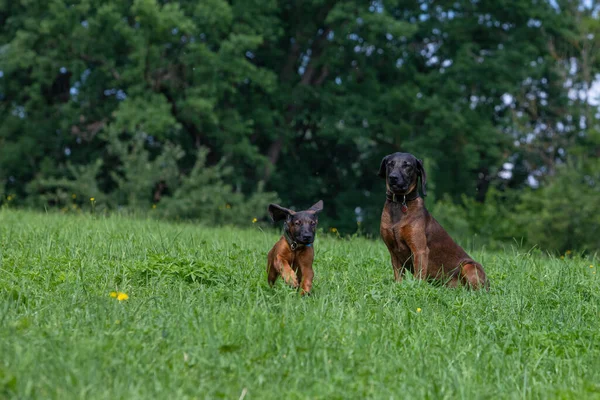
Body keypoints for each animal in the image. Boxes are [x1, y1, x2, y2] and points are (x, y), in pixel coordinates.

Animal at [378, 152, 490, 290]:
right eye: (390, 164)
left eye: (407, 165)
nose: (393, 177)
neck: (399, 203)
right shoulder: (394, 252)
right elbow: (398, 277)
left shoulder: (419, 250)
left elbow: (418, 276)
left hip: (468, 266)